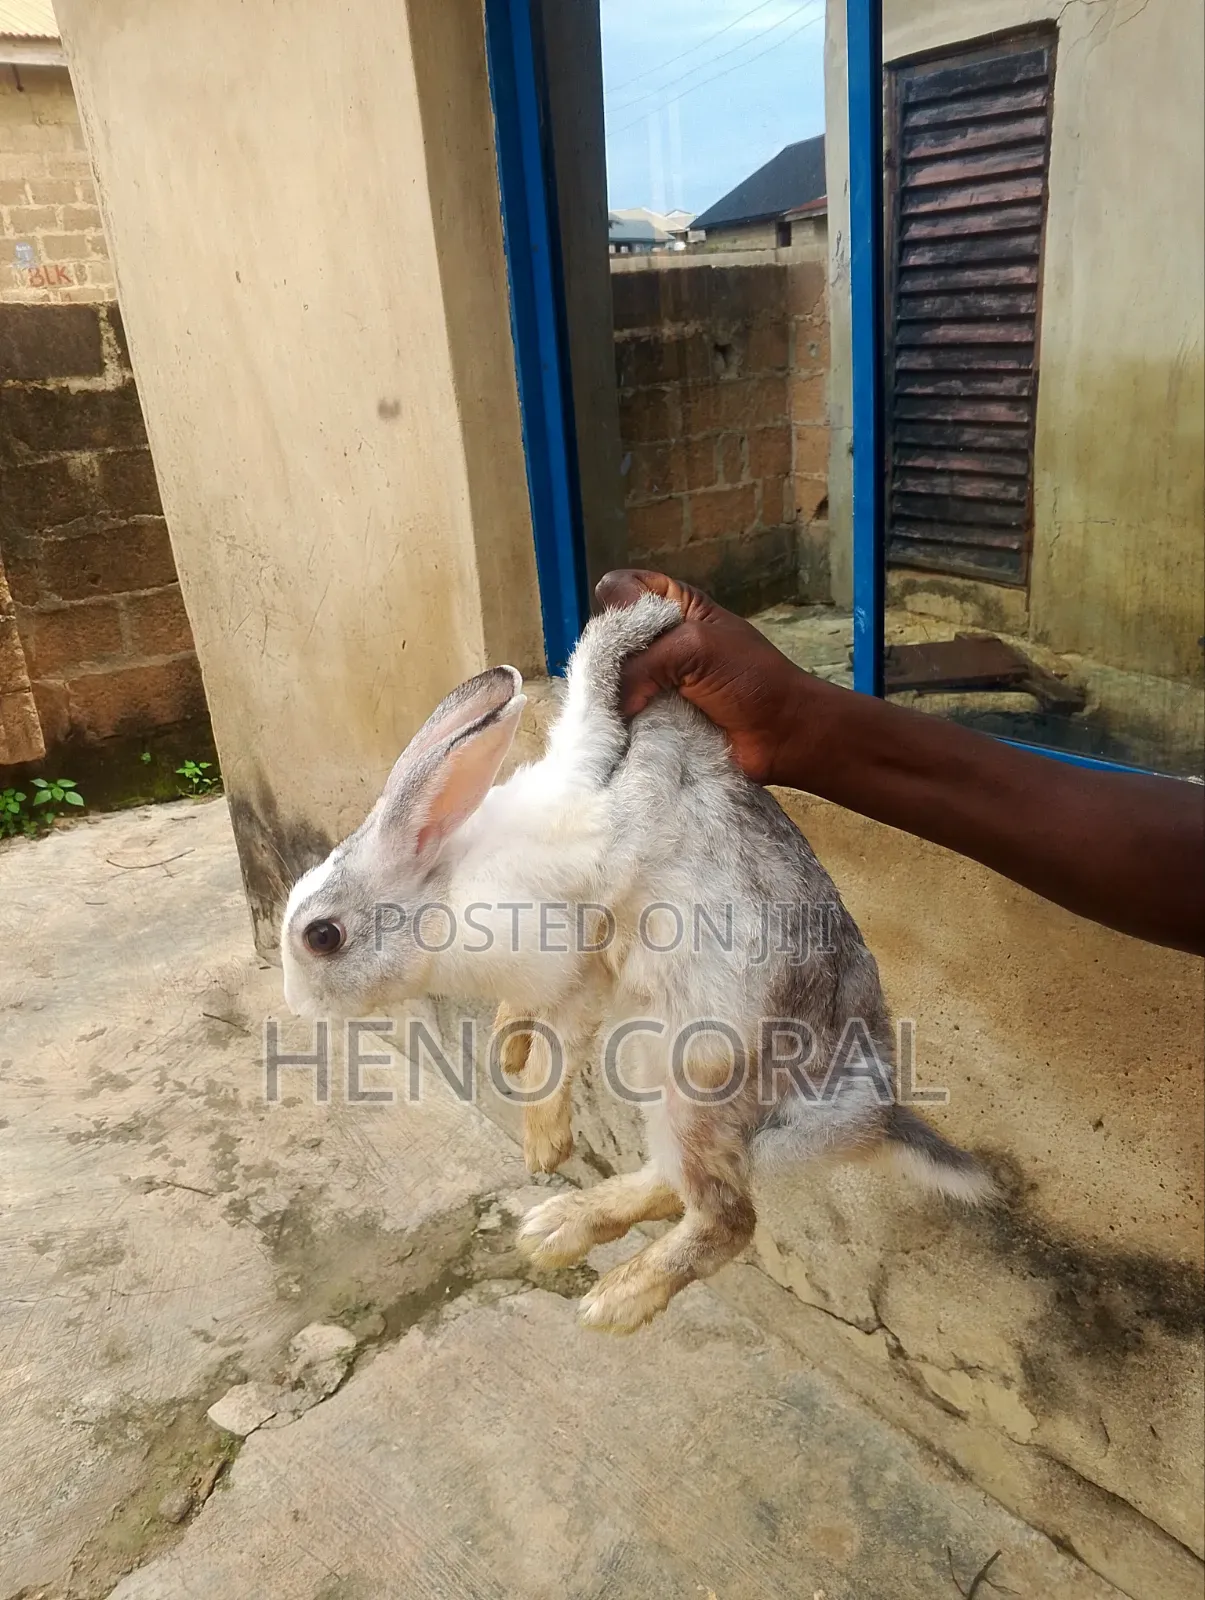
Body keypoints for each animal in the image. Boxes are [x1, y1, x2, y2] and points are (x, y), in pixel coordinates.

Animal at [281, 592, 996, 1334]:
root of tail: (871, 1113)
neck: (445, 883)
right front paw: (508, 1048)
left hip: (697, 1082)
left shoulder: (580, 943)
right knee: (682, 1187)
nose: (298, 1005)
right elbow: (533, 1028)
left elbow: (595, 693)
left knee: (727, 1218)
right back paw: (557, 1230)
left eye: (323, 936)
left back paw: (616, 1300)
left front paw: (542, 1142)